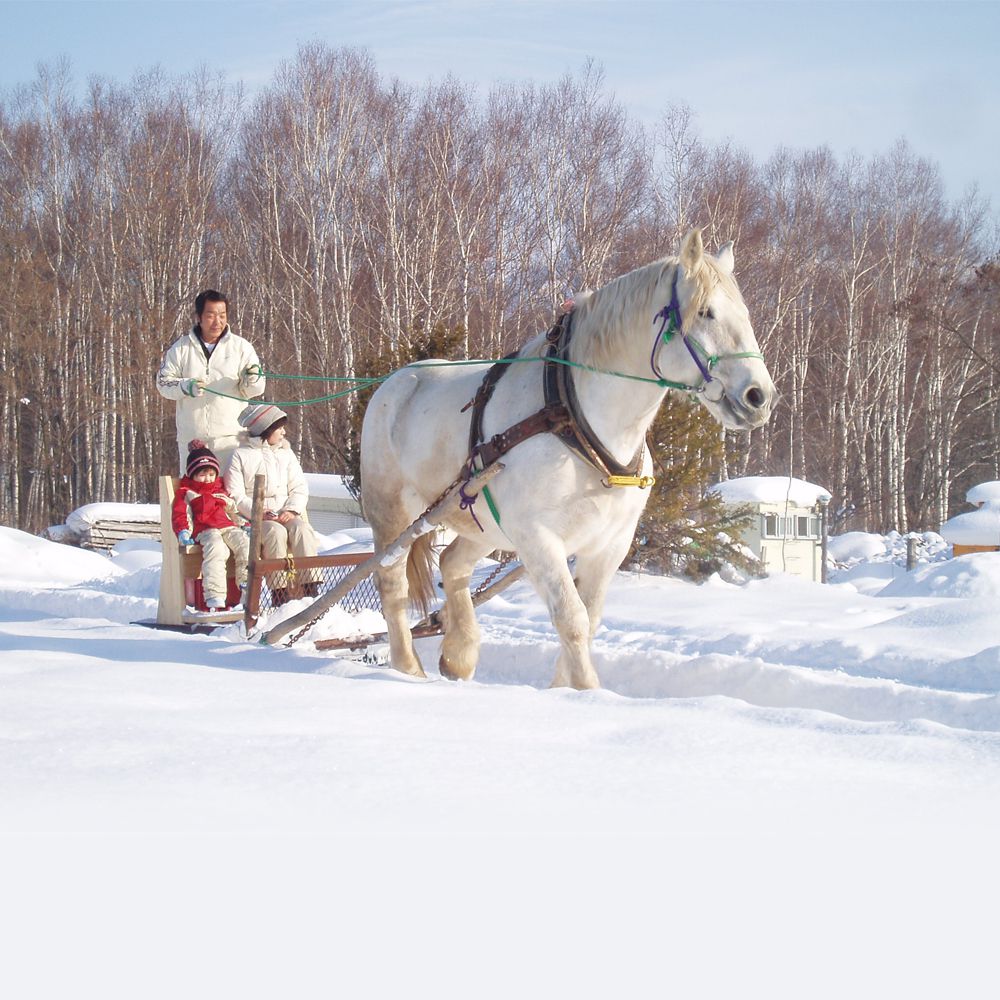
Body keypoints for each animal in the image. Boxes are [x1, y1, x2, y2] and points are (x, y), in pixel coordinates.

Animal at [358, 230, 772, 692]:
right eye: (705, 312)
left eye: (744, 314)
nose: (758, 396)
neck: (574, 421)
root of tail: (394, 381)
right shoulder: (538, 538)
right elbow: (572, 618)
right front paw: (587, 691)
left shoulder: (609, 544)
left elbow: (589, 619)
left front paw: (564, 689)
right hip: (394, 514)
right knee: (390, 582)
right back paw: (408, 667)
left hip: (481, 521)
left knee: (452, 564)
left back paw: (459, 655)